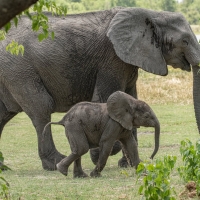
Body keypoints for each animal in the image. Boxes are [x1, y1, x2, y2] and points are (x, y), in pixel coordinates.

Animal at [0, 7, 200, 170]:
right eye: (185, 41)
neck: (153, 14)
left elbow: (130, 98)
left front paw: (125, 164)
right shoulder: (111, 59)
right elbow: (106, 97)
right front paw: (100, 154)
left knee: (4, 114)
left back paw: (4, 168)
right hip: (19, 69)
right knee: (41, 108)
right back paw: (54, 163)